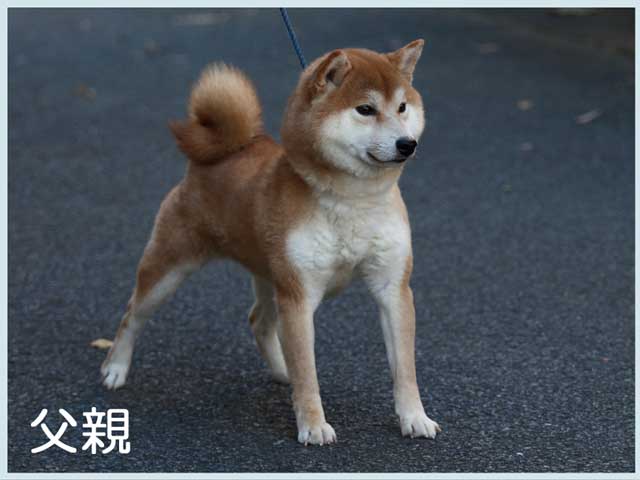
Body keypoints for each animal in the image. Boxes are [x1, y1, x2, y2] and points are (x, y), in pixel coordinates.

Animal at [101, 40, 440, 446]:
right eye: (365, 109)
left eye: (402, 107)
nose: (408, 144)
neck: (353, 200)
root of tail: (228, 150)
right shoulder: (299, 296)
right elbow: (308, 372)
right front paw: (313, 424)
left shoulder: (393, 288)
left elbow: (405, 369)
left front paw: (415, 417)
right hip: (169, 270)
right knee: (132, 314)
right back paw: (115, 368)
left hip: (269, 276)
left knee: (258, 321)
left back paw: (283, 372)